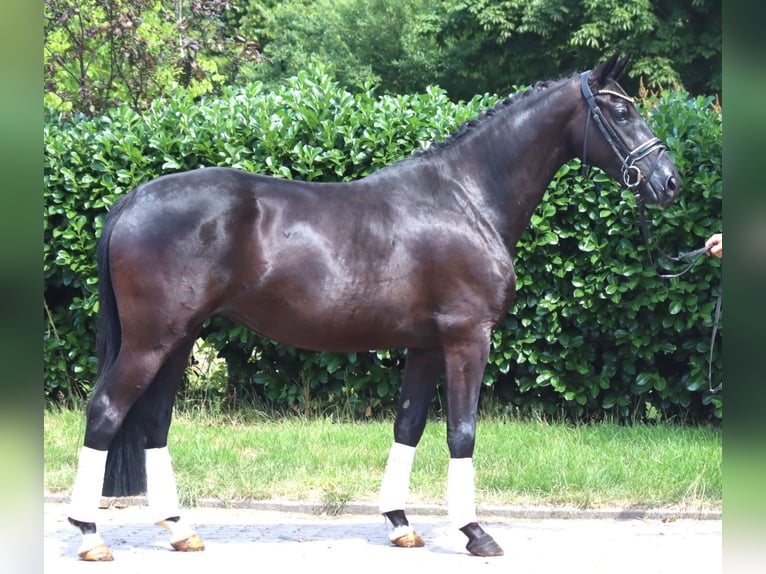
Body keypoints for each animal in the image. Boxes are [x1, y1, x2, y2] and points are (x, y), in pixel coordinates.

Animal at [66, 54, 680, 561]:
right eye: (620, 110)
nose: (669, 182)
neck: (467, 198)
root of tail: (133, 199)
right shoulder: (467, 337)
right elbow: (462, 432)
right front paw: (475, 532)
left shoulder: (426, 345)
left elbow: (408, 425)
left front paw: (401, 524)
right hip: (152, 341)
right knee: (106, 412)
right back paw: (91, 535)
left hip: (180, 339)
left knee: (153, 422)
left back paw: (179, 530)